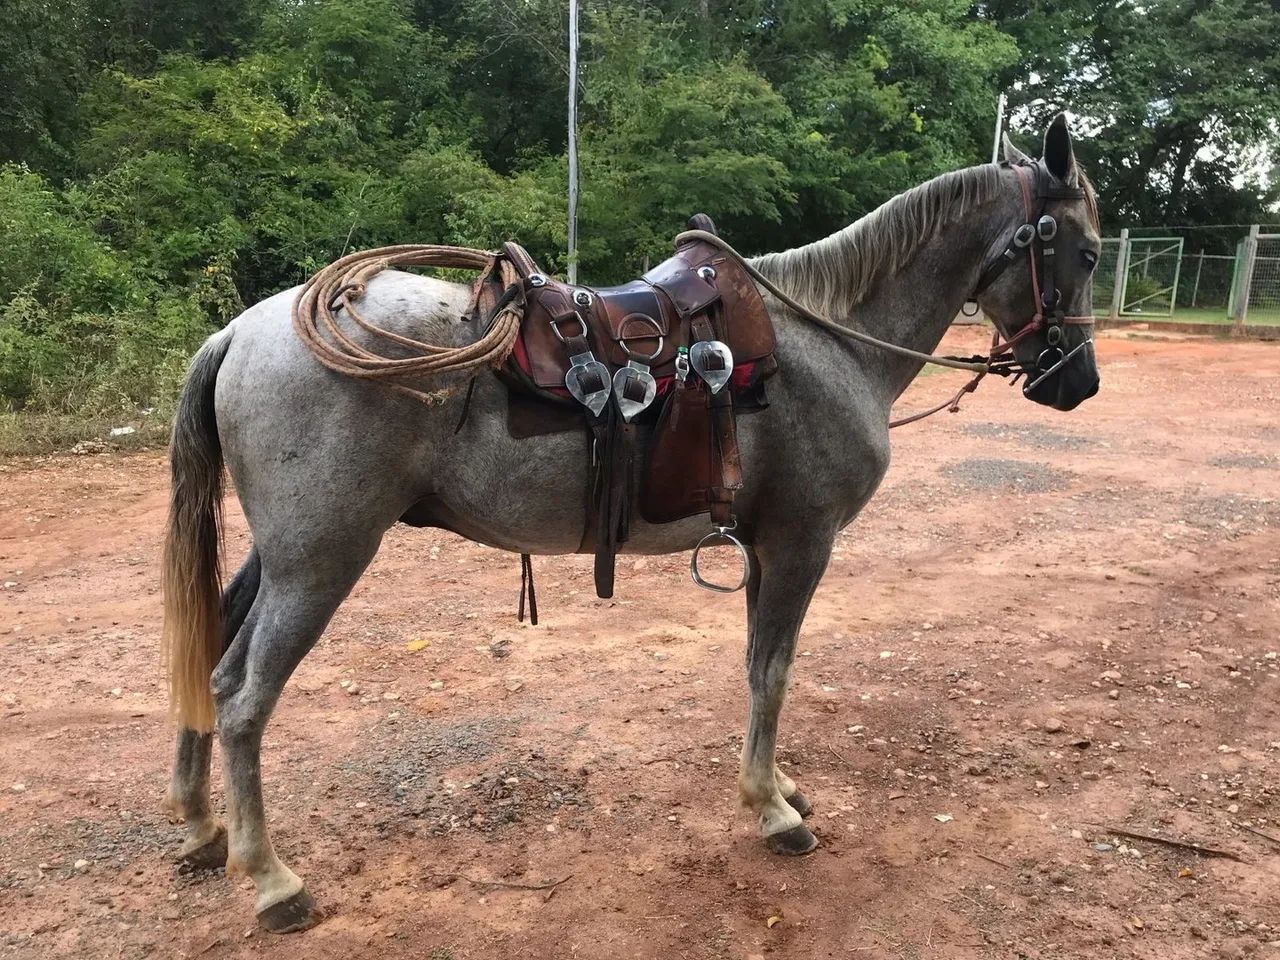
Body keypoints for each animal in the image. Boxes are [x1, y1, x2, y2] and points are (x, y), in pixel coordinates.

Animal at [160, 115, 1101, 932]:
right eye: (1086, 250)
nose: (1077, 381)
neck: (831, 342)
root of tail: (240, 332)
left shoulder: (763, 550)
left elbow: (758, 667)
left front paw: (778, 785)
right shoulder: (801, 543)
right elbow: (774, 673)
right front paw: (771, 810)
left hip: (281, 558)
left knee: (212, 649)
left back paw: (202, 826)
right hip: (322, 562)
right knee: (241, 694)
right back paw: (272, 880)